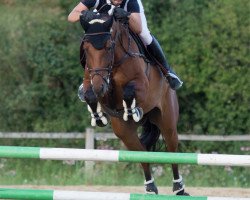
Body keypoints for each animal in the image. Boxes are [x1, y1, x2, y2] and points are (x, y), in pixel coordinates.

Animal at [79, 12, 188, 195]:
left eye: (109, 47)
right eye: (86, 49)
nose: (99, 87)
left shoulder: (141, 86)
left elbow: (129, 91)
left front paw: (131, 110)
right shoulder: (92, 82)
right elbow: (89, 95)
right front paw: (98, 116)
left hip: (167, 122)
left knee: (172, 151)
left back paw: (179, 188)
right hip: (125, 133)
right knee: (141, 153)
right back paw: (150, 187)